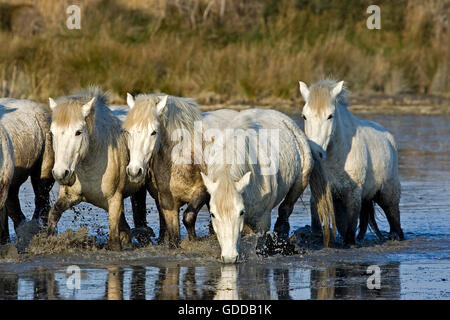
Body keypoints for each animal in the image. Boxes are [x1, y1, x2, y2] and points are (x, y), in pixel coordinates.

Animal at [200, 109, 334, 264]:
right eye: (212, 214)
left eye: (240, 212)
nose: (229, 257)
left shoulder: (262, 221)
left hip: (300, 183)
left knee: (285, 210)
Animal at [300, 78, 402, 245]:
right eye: (304, 116)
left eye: (330, 116)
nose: (316, 153)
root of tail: (389, 139)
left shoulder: (353, 194)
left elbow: (350, 231)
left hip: (388, 195)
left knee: (396, 223)